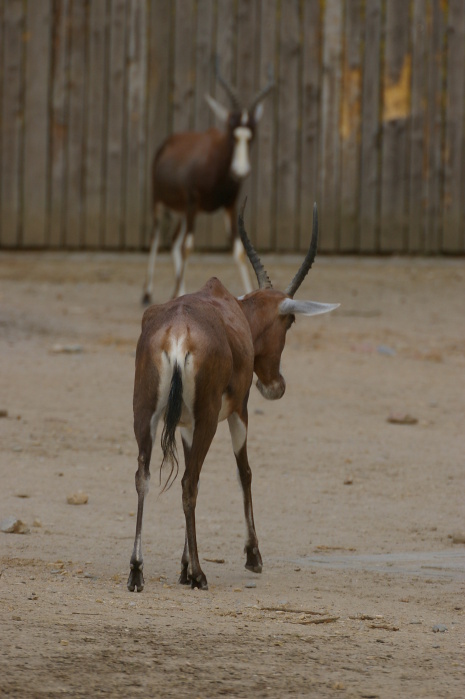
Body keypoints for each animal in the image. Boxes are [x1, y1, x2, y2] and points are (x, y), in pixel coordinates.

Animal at [127, 201, 338, 592]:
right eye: (289, 323)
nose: (275, 386)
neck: (231, 311)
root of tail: (177, 334)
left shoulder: (185, 424)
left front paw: (182, 566)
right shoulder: (238, 412)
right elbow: (245, 472)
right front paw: (252, 556)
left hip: (145, 416)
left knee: (144, 476)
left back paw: (136, 571)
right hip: (210, 419)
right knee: (189, 482)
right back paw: (200, 574)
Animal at [140, 63, 274, 306]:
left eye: (251, 136)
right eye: (232, 132)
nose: (240, 171)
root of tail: (167, 143)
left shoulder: (230, 206)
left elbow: (239, 251)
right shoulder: (194, 203)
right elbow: (188, 247)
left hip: (183, 212)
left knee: (173, 240)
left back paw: (180, 289)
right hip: (162, 203)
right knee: (156, 237)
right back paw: (147, 294)